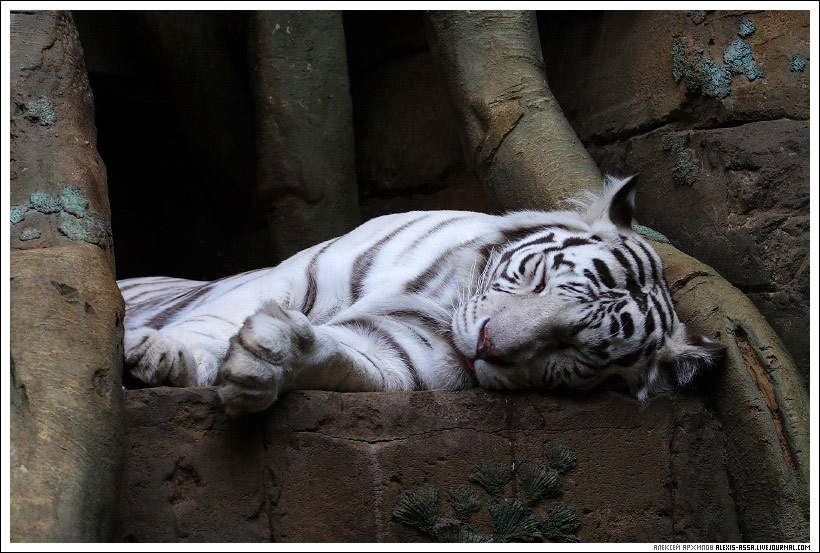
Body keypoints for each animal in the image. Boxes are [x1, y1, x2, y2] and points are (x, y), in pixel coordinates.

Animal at [119, 176, 726, 416]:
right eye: (537, 278)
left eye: (576, 351)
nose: (487, 347)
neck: (444, 297)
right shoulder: (294, 275)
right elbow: (215, 320)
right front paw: (163, 355)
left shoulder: (399, 353)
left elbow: (345, 358)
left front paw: (268, 359)